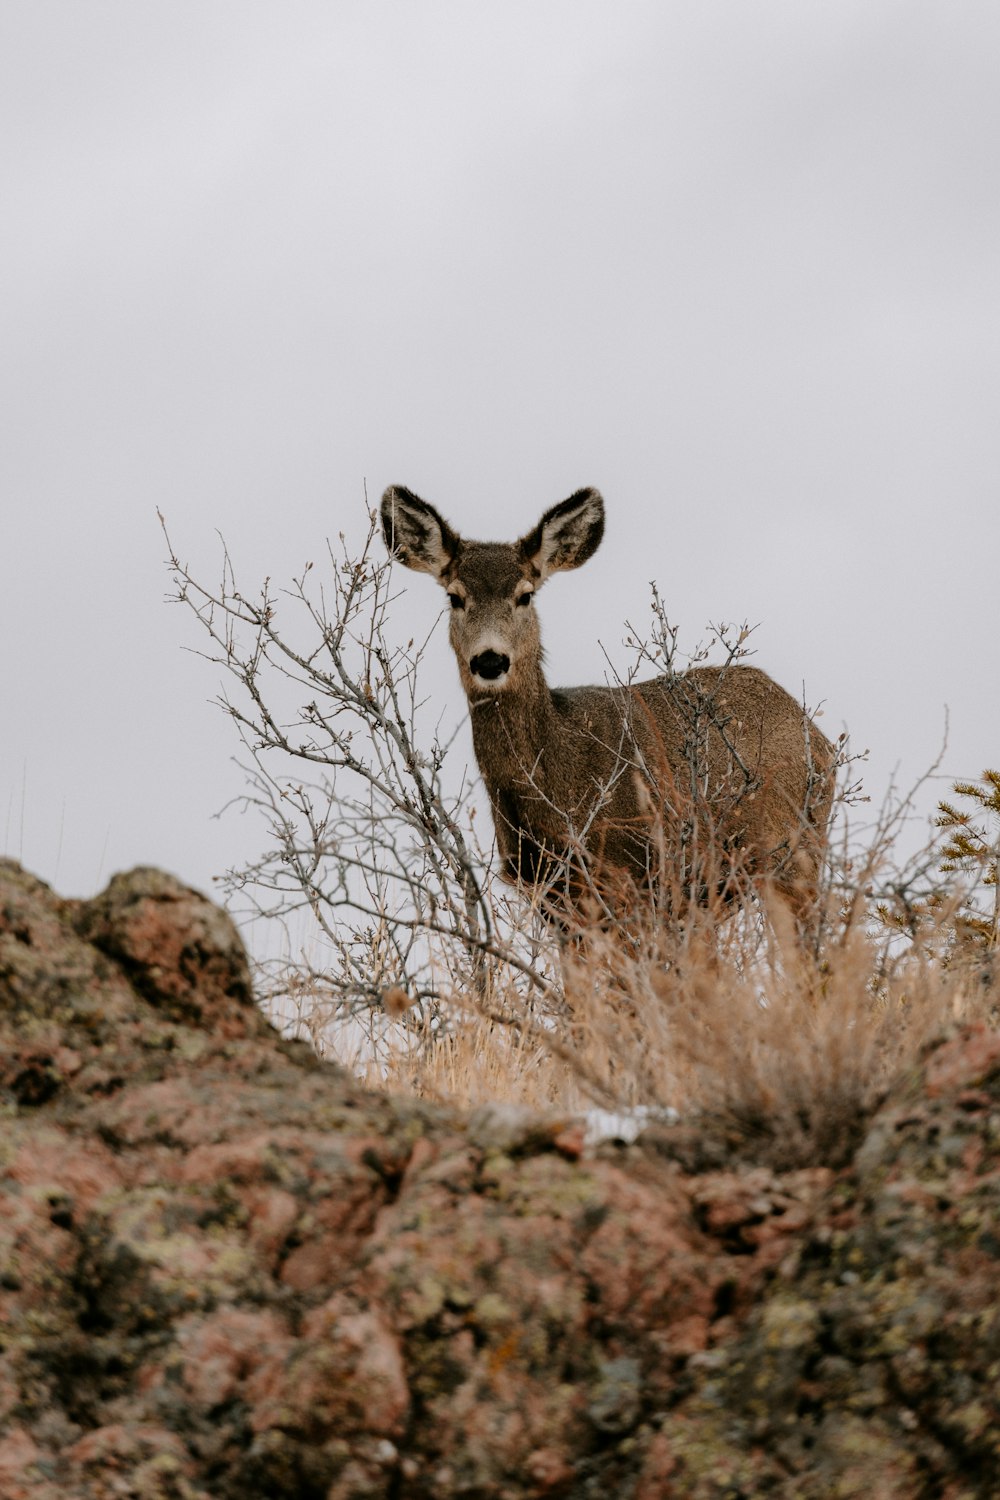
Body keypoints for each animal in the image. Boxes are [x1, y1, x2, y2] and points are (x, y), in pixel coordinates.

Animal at [383, 486, 839, 942]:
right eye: (455, 597)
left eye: (525, 594)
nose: (490, 660)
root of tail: (819, 737)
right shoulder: (554, 899)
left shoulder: (630, 879)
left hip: (792, 852)